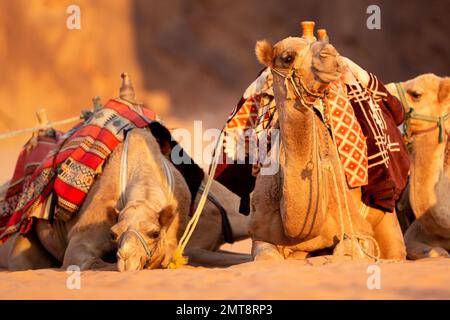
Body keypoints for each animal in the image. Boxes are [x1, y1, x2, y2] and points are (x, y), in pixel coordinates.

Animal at [250, 36, 408, 262]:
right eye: (287, 57)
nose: (330, 54)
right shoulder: (260, 235)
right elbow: (266, 257)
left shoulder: (358, 230)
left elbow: (347, 252)